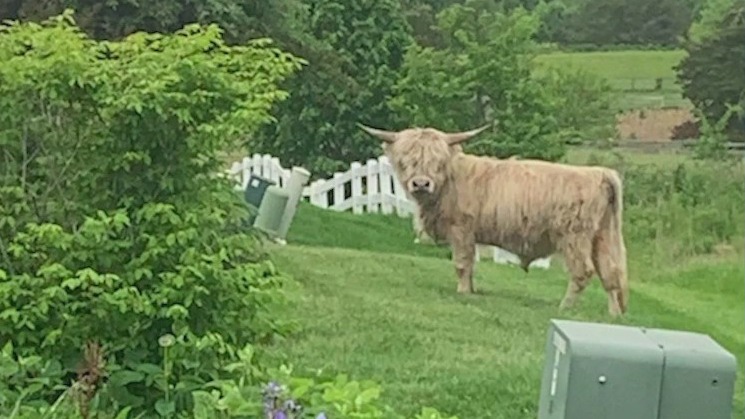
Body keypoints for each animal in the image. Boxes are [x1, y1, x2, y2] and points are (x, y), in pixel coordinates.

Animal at [360, 123, 629, 317]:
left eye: (437, 161)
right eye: (406, 160)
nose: (421, 183)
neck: (450, 182)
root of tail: (599, 172)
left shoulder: (461, 229)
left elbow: (462, 263)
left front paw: (463, 293)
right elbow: (471, 265)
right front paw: (471, 290)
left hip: (575, 236)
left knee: (583, 271)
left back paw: (565, 307)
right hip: (602, 236)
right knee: (610, 273)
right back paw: (614, 315)